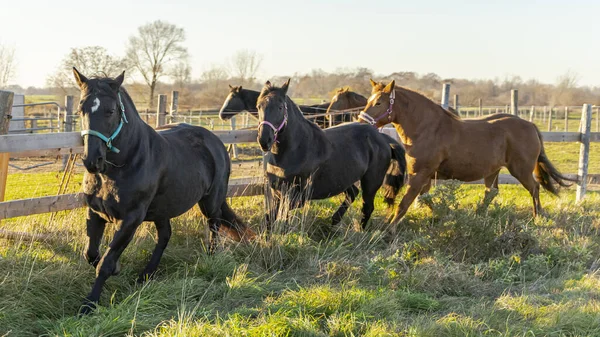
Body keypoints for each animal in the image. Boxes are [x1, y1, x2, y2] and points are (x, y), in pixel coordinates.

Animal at [73, 68, 255, 316]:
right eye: (81, 109)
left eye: (110, 111)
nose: (92, 160)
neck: (124, 164)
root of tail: (215, 140)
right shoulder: (95, 213)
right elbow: (91, 254)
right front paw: (117, 269)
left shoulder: (131, 219)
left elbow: (105, 263)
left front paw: (88, 304)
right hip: (162, 209)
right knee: (165, 235)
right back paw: (146, 274)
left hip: (210, 201)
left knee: (214, 225)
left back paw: (210, 257)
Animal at [255, 79, 406, 228]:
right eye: (259, 106)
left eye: (280, 107)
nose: (264, 140)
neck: (295, 150)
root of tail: (383, 138)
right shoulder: (276, 192)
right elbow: (269, 217)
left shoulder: (298, 196)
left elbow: (280, 213)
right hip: (345, 177)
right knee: (353, 193)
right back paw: (334, 220)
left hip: (371, 182)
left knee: (367, 207)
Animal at [358, 78, 576, 220]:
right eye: (368, 101)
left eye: (378, 102)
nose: (361, 122)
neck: (427, 128)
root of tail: (530, 125)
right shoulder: (426, 176)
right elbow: (425, 199)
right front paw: (442, 214)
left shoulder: (420, 174)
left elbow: (405, 202)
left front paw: (388, 230)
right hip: (493, 170)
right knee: (491, 192)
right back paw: (478, 215)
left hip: (520, 170)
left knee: (534, 188)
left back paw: (537, 216)